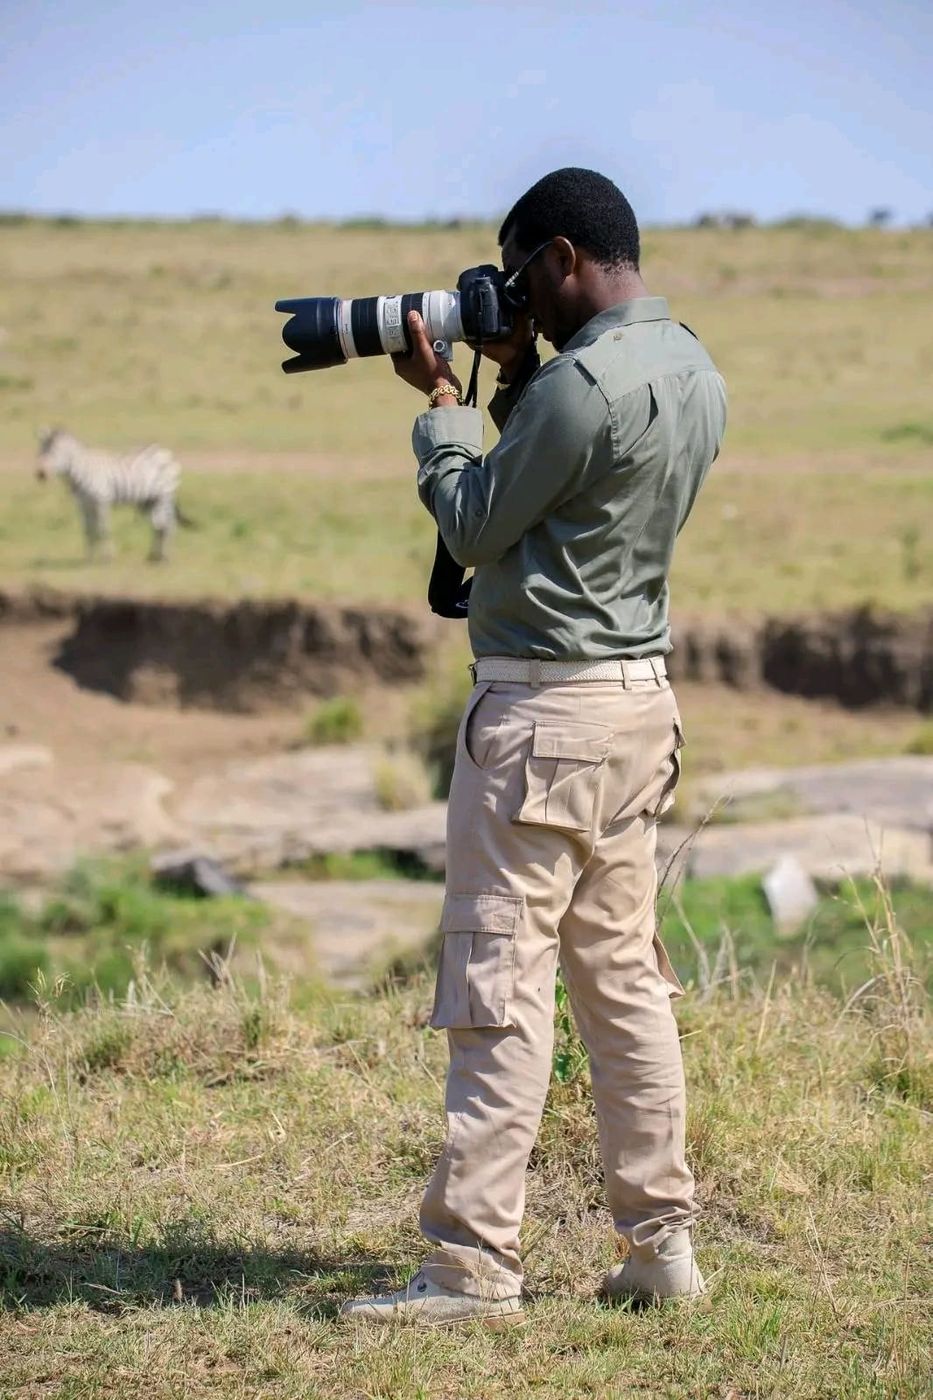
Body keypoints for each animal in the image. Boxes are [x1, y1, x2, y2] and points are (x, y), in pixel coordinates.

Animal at [36, 427, 190, 562]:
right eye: (40, 451)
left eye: (54, 453)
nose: (40, 475)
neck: (81, 471)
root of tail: (162, 450)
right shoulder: (83, 505)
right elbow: (88, 529)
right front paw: (89, 557)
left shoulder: (102, 501)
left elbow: (104, 529)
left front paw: (107, 557)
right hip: (149, 500)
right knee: (158, 526)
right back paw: (153, 556)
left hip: (165, 495)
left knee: (169, 524)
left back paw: (166, 557)